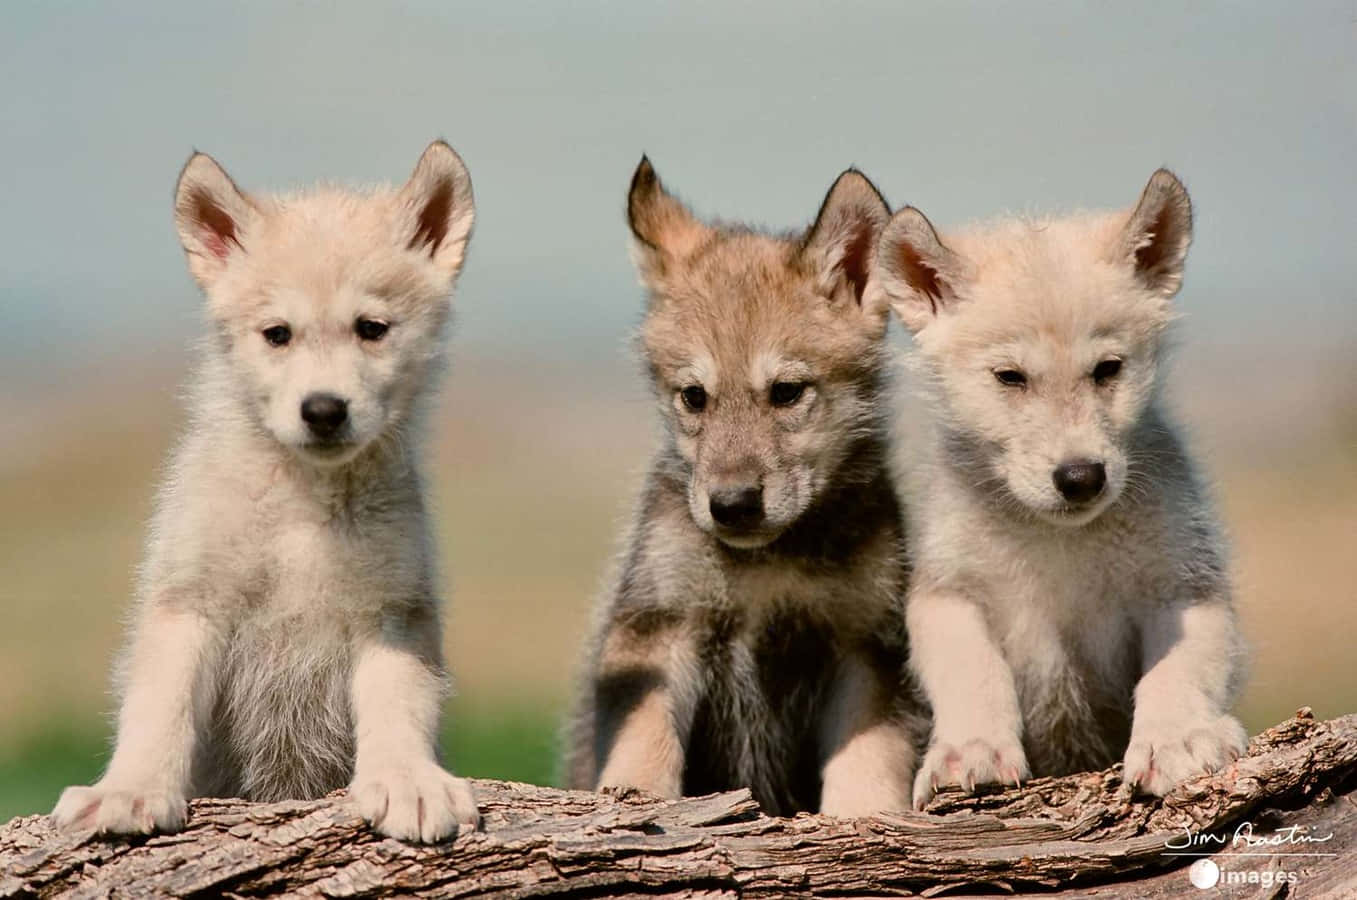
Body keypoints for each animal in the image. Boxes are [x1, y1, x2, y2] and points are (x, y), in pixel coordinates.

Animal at [50, 141, 480, 842]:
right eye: (278, 334)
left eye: (372, 328)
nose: (324, 410)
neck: (304, 502)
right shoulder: (188, 601)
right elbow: (160, 707)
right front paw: (130, 789)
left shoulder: (393, 610)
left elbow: (399, 703)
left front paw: (406, 781)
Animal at [565, 158, 923, 817]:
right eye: (693, 397)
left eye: (786, 392)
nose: (731, 507)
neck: (767, 566)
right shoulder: (659, 627)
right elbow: (643, 740)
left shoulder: (868, 645)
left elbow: (869, 757)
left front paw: (866, 816)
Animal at [867, 169, 1247, 807]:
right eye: (1010, 377)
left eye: (1108, 369)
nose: (1080, 477)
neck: (1059, 543)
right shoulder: (947, 591)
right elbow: (972, 671)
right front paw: (971, 748)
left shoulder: (1184, 584)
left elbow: (1177, 669)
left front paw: (1177, 739)